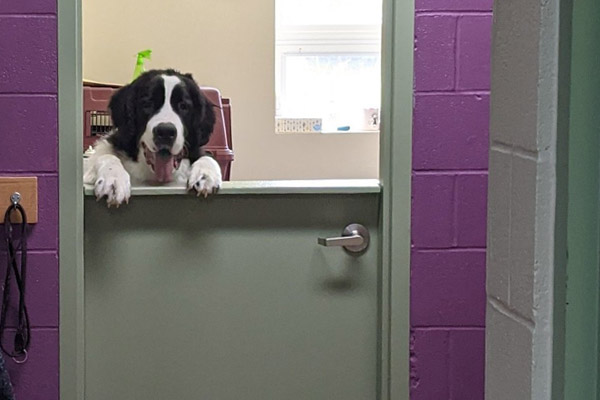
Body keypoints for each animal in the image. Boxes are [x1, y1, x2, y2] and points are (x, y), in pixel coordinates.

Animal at [84, 69, 223, 205]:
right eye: (147, 104)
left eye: (183, 106)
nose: (165, 132)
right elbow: (106, 156)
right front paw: (113, 179)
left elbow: (206, 156)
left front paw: (206, 175)